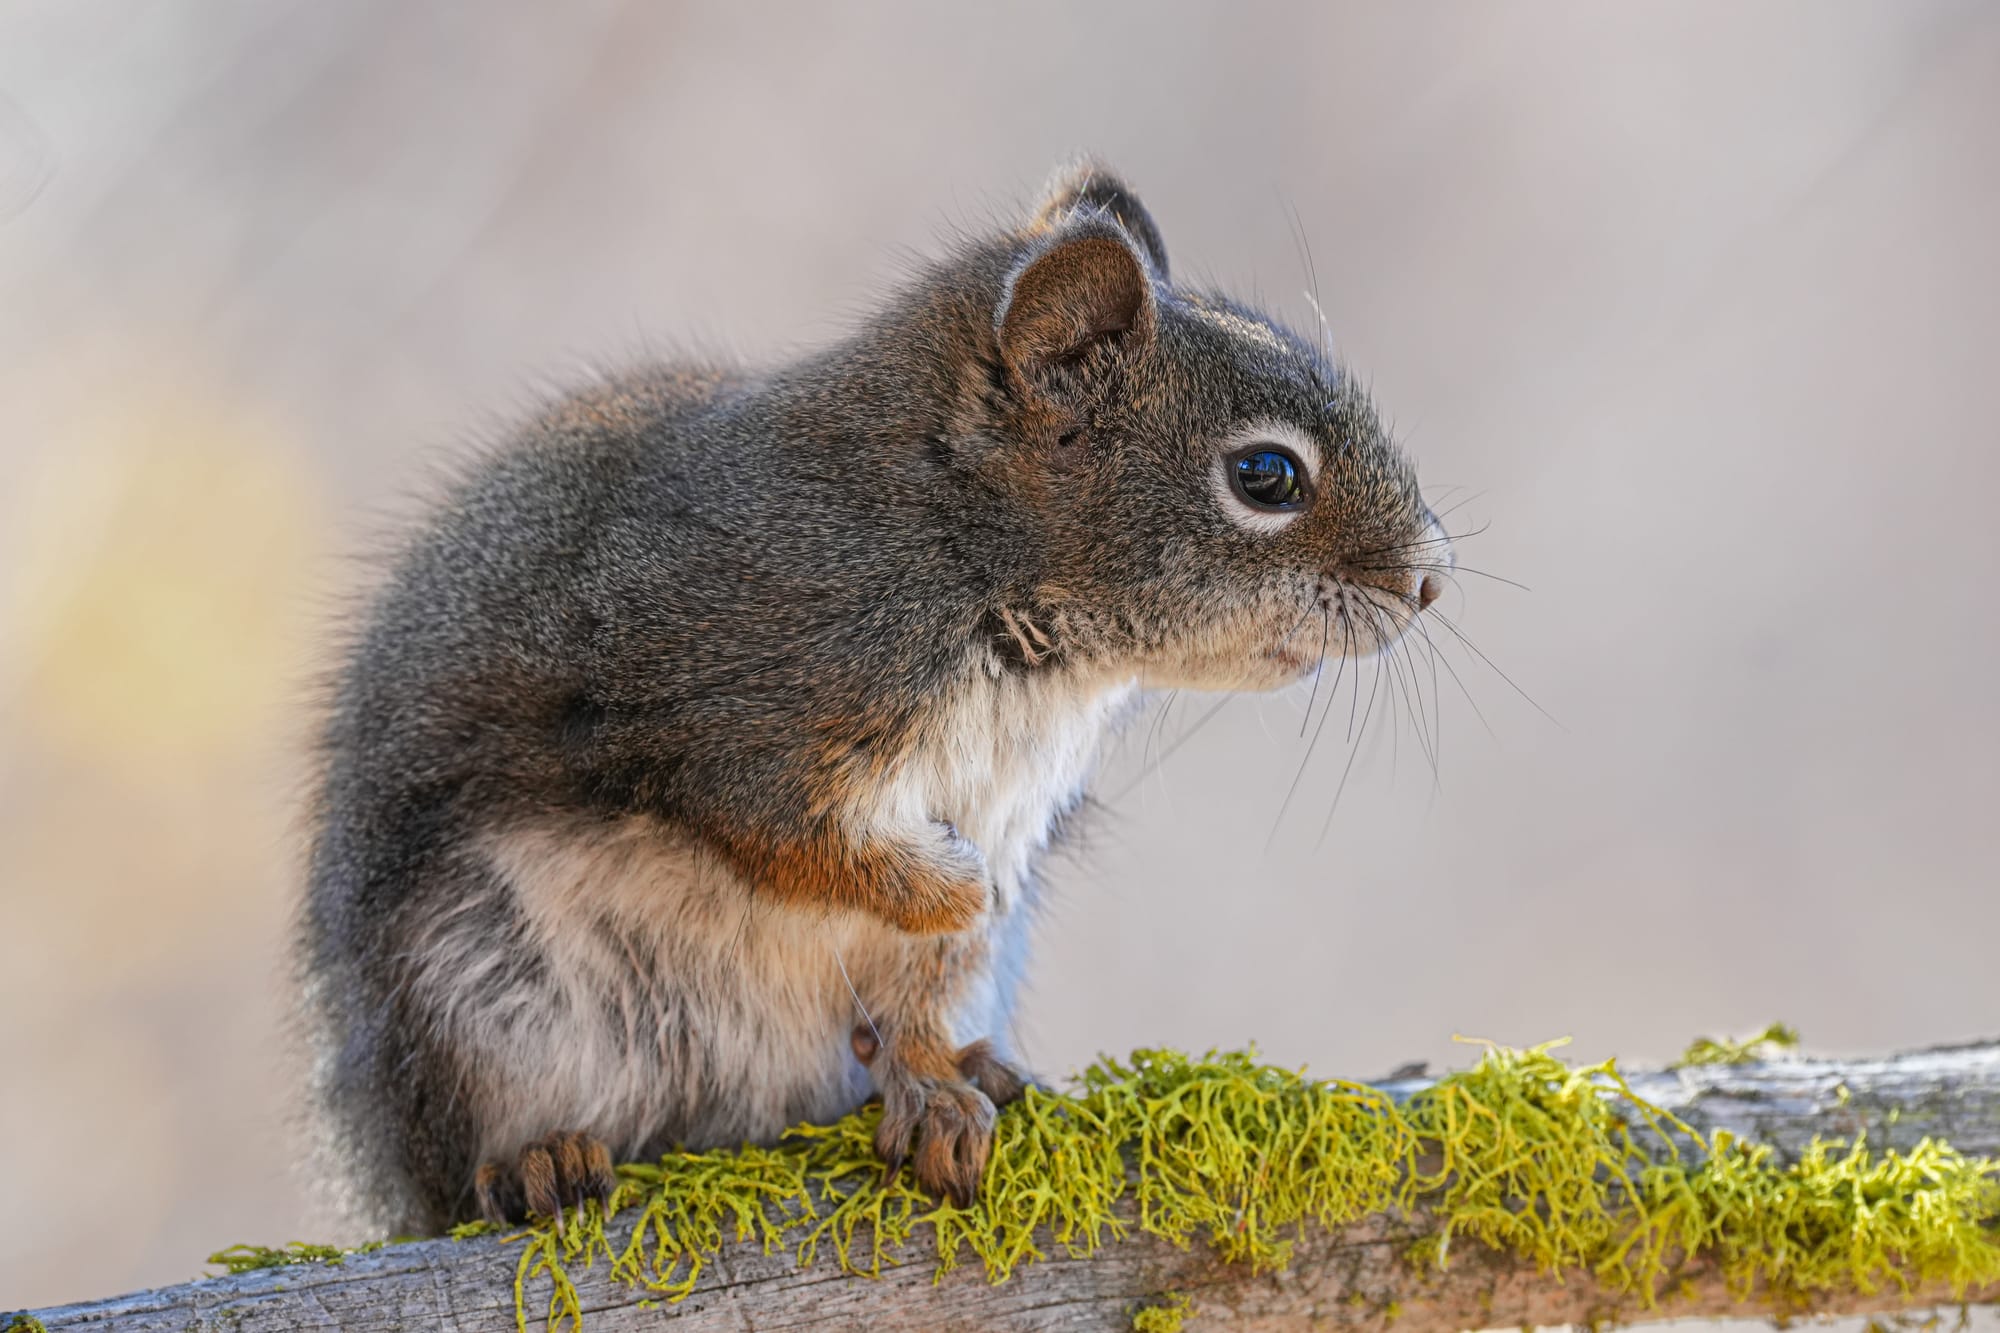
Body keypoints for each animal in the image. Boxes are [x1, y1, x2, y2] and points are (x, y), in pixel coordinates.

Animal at [299, 161, 1453, 1235]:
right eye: (1265, 476)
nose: (1429, 583)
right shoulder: (727, 706)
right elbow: (792, 835)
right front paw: (948, 886)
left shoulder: (999, 809)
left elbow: (925, 976)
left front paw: (934, 1080)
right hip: (480, 998)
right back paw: (536, 1159)